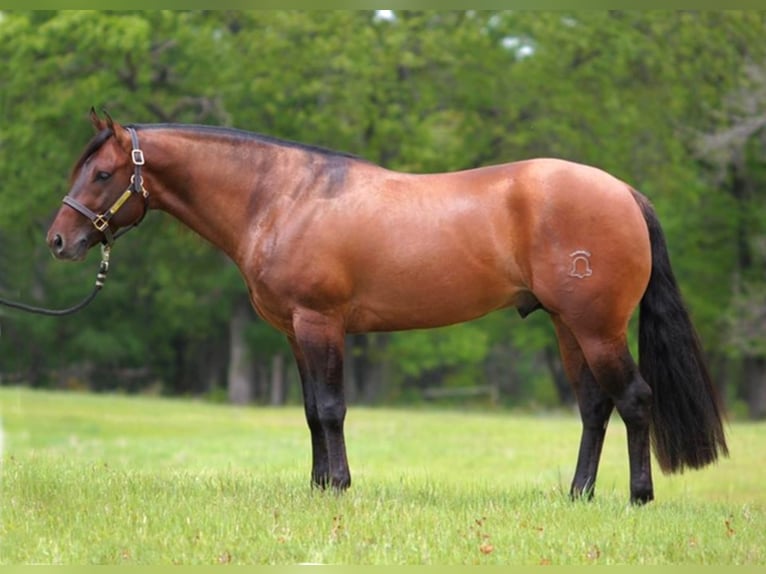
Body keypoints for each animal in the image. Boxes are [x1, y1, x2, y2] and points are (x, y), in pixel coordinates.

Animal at [46, 110, 728, 504]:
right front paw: (319, 488)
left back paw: (638, 498)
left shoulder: (320, 322)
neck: (283, 196)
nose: (59, 240)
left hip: (597, 326)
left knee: (634, 400)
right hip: (569, 326)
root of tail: (624, 192)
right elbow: (309, 412)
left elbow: (331, 408)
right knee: (594, 407)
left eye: (103, 173)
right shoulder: (294, 332)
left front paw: (339, 489)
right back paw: (577, 494)